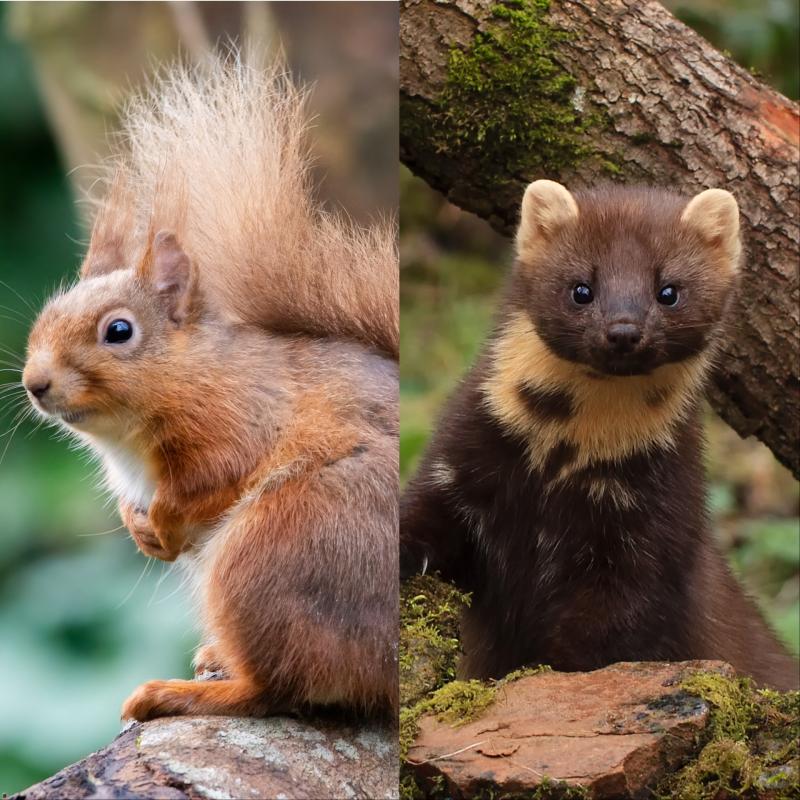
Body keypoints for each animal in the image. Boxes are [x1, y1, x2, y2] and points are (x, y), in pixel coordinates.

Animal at [22, 56, 398, 720]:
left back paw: (180, 693)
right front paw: (142, 531)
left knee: (277, 687)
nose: (34, 383)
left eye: (119, 331)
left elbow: (209, 479)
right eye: (46, 314)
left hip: (280, 545)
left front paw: (165, 524)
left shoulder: (241, 418)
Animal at [401, 180, 799, 691]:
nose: (623, 330)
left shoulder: (653, 521)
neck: (564, 455)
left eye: (668, 290)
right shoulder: (461, 451)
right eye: (581, 288)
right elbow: (421, 513)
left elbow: (614, 628)